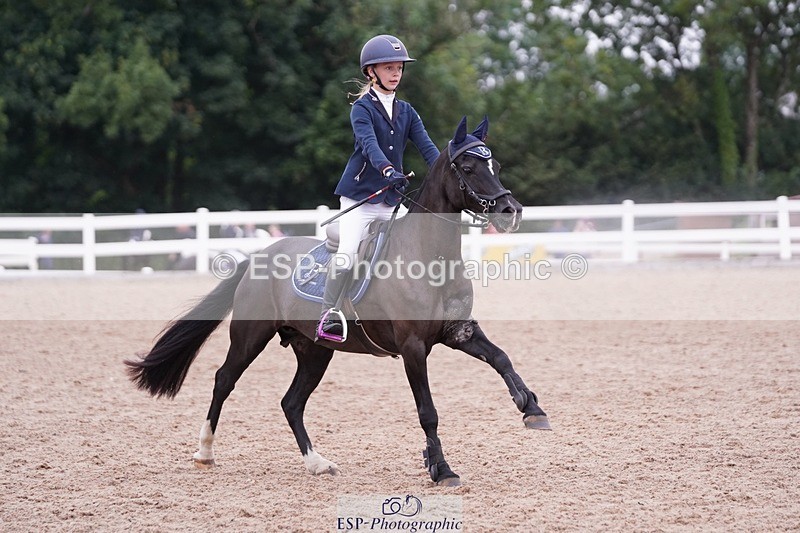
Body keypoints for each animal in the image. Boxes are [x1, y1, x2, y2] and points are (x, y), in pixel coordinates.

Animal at [126, 116, 550, 487]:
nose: (511, 211)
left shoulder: (457, 331)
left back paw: (317, 463)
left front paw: (532, 409)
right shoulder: (413, 347)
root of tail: (260, 255)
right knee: (224, 380)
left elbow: (501, 358)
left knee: (291, 403)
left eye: (495, 164)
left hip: (314, 350)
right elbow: (427, 411)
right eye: (468, 166)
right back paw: (205, 452)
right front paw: (441, 469)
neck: (429, 255)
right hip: (250, 336)